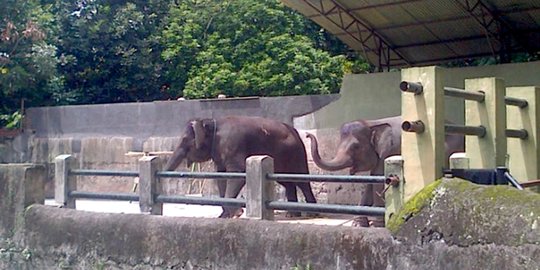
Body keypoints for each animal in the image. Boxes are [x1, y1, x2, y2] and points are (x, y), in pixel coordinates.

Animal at [165, 115, 316, 218]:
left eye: (185, 140)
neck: (212, 122)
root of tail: (295, 131)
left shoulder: (234, 145)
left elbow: (238, 174)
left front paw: (236, 213)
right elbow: (221, 177)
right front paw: (225, 216)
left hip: (296, 154)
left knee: (301, 180)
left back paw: (311, 214)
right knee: (287, 182)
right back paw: (292, 215)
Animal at [306, 115, 466, 227]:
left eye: (356, 147)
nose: (307, 135)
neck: (372, 123)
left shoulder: (390, 150)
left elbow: (378, 182)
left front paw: (377, 225)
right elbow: (371, 182)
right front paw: (358, 224)